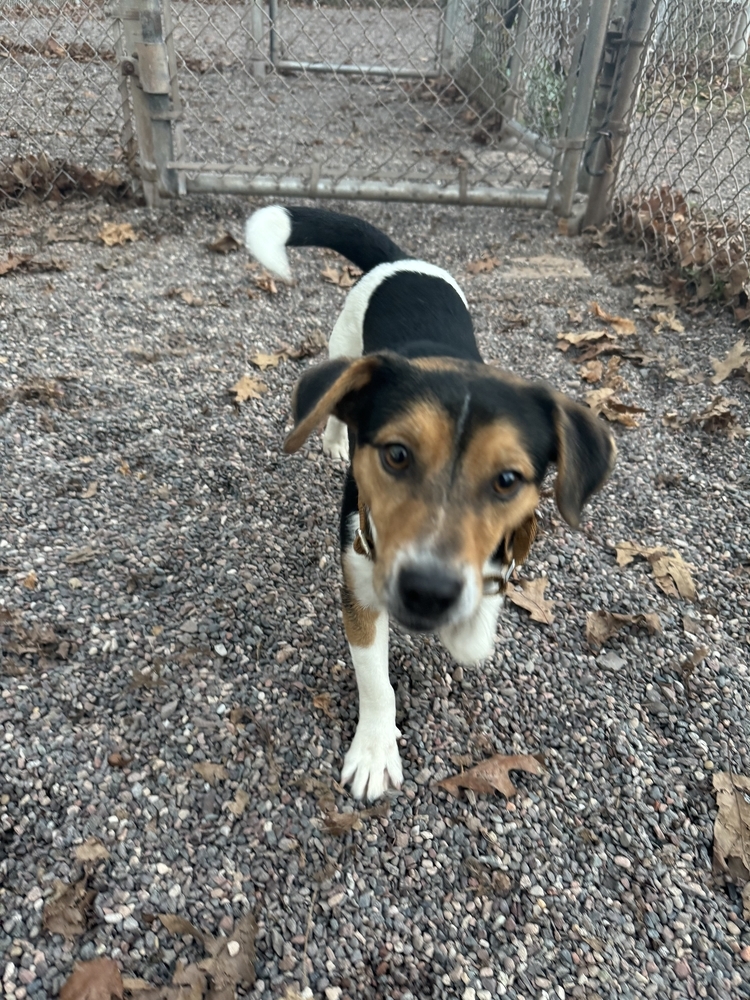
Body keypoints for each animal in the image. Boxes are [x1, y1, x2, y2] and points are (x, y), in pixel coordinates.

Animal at [247, 207, 616, 800]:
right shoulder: (360, 588)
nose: (428, 592)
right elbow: (377, 683)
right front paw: (375, 751)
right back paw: (332, 440)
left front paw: (469, 630)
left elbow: (481, 619)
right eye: (396, 455)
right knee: (330, 404)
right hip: (342, 346)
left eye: (508, 479)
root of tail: (401, 260)